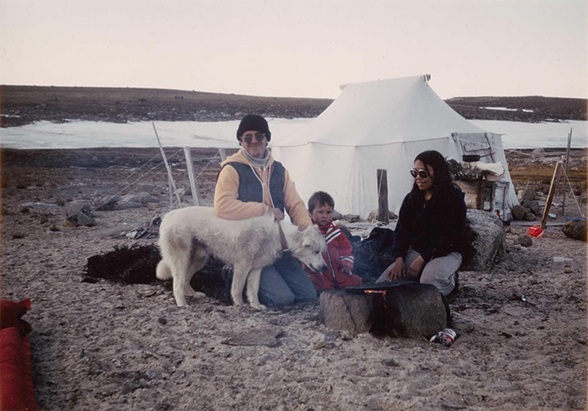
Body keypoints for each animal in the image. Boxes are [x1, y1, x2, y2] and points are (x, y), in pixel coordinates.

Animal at [156, 206, 327, 309]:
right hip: (181, 259)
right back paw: (182, 304)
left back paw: (193, 294)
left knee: (185, 280)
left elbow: (253, 289)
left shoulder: (256, 269)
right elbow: (237, 289)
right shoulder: (242, 266)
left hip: (198, 259)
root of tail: (169, 215)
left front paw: (256, 306)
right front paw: (240, 305)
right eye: (316, 251)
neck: (279, 234)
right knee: (177, 284)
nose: (325, 267)